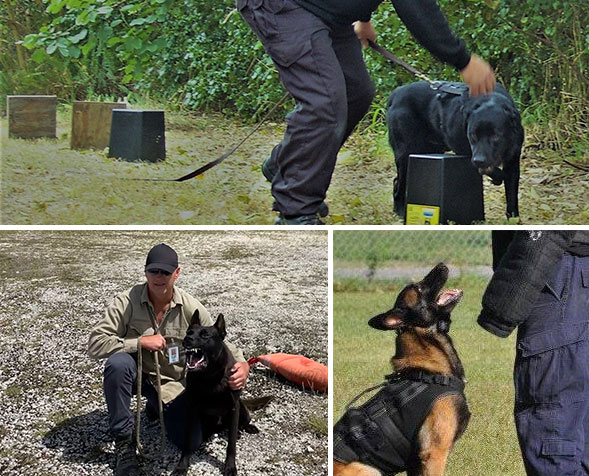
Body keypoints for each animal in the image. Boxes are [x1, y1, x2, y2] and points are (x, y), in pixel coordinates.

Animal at [172, 310, 264, 476]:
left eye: (205, 335)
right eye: (189, 332)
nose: (187, 339)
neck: (210, 376)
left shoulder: (234, 407)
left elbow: (231, 445)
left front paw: (230, 466)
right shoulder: (192, 409)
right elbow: (188, 441)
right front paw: (182, 466)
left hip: (242, 409)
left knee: (241, 424)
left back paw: (246, 428)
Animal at [334, 264, 470, 476]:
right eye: (419, 288)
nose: (442, 264)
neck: (429, 373)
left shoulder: (416, 461)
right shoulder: (434, 454)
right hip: (369, 470)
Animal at [388, 82, 520, 219]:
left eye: (496, 136)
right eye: (472, 135)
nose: (479, 160)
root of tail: (395, 93)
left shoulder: (513, 160)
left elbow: (511, 193)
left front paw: (514, 218)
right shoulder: (464, 151)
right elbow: (498, 172)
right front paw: (498, 177)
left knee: (397, 180)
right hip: (405, 153)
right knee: (399, 183)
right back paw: (400, 211)